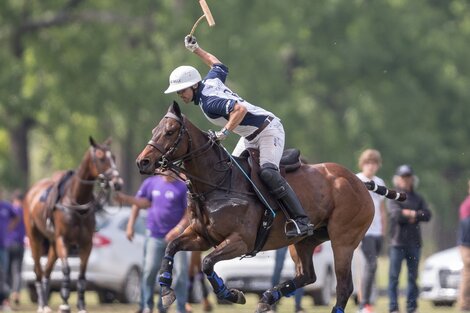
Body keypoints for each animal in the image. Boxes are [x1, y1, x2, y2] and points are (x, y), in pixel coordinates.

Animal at [23, 136, 123, 312]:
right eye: (100, 158)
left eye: (114, 157)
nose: (117, 183)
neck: (76, 202)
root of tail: (32, 191)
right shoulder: (63, 241)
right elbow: (66, 270)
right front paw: (64, 304)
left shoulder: (86, 243)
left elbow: (82, 275)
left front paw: (81, 305)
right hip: (35, 238)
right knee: (38, 270)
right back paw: (42, 304)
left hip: (53, 244)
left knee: (47, 270)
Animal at [136, 102, 400, 312]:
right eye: (154, 130)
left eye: (170, 132)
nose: (143, 162)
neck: (218, 183)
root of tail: (359, 181)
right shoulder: (201, 236)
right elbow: (171, 246)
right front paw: (167, 290)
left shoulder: (240, 240)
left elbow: (207, 263)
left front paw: (231, 294)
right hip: (305, 241)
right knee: (307, 275)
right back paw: (267, 297)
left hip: (343, 240)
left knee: (344, 287)